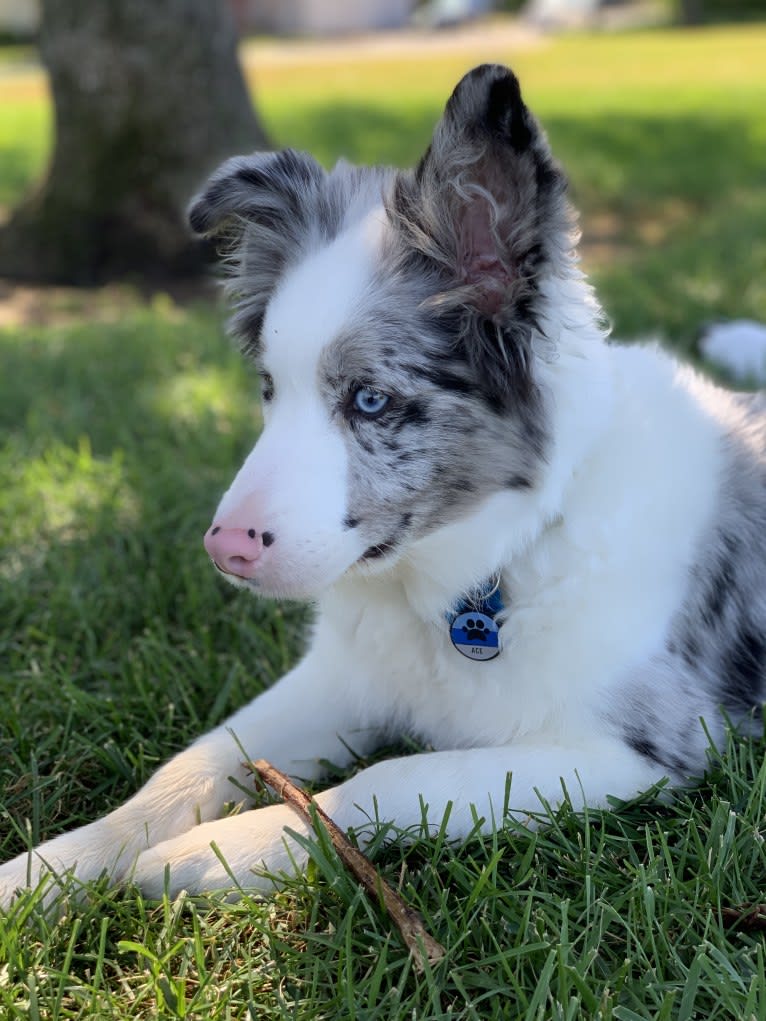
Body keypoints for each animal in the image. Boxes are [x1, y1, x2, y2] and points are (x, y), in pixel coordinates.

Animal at [1, 63, 766, 906]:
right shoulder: (340, 675)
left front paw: (218, 849)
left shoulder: (637, 749)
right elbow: (193, 760)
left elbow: (391, 777)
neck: (483, 571)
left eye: (370, 399)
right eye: (269, 387)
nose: (225, 550)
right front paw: (45, 872)